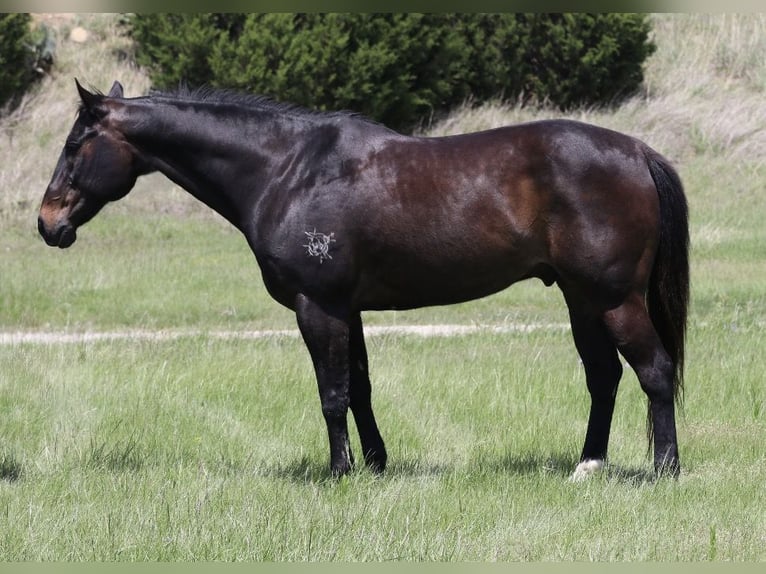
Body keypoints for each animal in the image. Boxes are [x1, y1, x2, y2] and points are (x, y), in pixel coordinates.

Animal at [38, 80, 689, 478]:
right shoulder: (346, 309)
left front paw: (340, 472)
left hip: (615, 299)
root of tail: (637, 151)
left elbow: (331, 393)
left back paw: (665, 470)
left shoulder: (318, 305)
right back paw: (589, 466)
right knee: (604, 377)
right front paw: (375, 464)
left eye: (75, 143)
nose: (47, 223)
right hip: (583, 300)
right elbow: (360, 388)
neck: (287, 170)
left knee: (654, 372)